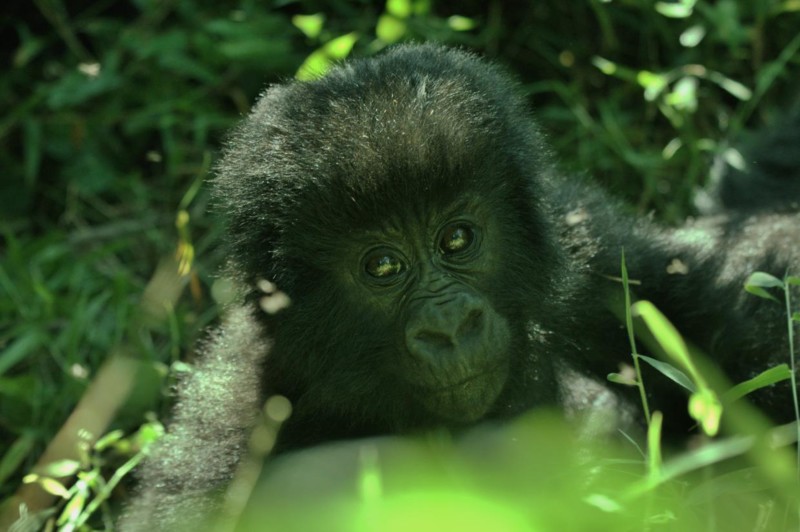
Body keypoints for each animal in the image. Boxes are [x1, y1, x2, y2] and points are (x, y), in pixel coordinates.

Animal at [120, 43, 800, 528]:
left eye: (456, 239)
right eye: (382, 267)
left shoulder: (582, 243)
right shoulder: (232, 429)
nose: (451, 326)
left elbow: (733, 322)